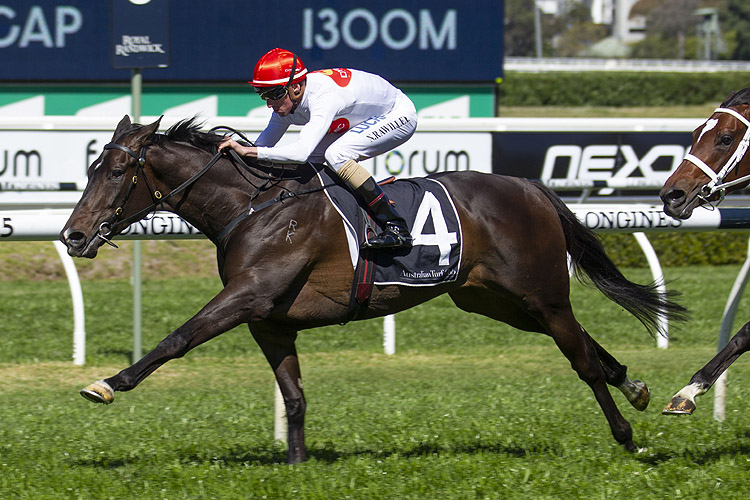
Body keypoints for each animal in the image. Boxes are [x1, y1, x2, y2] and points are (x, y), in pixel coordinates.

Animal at [63, 115, 688, 462]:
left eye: (115, 172)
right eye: (90, 168)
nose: (73, 235)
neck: (255, 207)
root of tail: (531, 187)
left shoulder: (248, 296)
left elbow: (178, 338)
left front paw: (108, 383)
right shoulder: (268, 319)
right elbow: (294, 397)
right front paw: (296, 466)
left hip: (538, 293)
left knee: (579, 357)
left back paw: (627, 433)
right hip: (494, 299)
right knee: (582, 341)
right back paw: (633, 385)